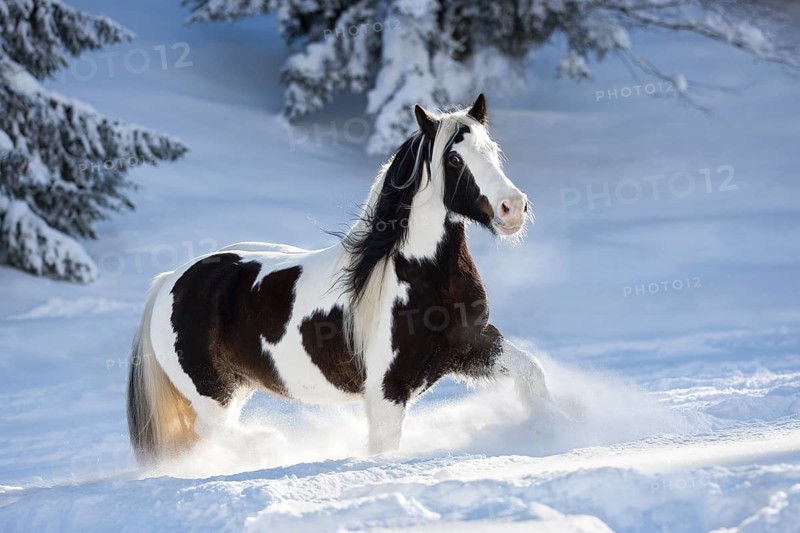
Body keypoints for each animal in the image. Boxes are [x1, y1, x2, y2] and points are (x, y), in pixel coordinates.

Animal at [127, 94, 550, 464]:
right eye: (455, 158)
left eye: (492, 150)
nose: (513, 208)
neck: (422, 278)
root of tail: (169, 280)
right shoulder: (386, 391)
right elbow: (383, 449)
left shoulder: (471, 345)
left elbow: (532, 373)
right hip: (213, 392)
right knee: (213, 430)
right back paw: (273, 445)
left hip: (235, 385)